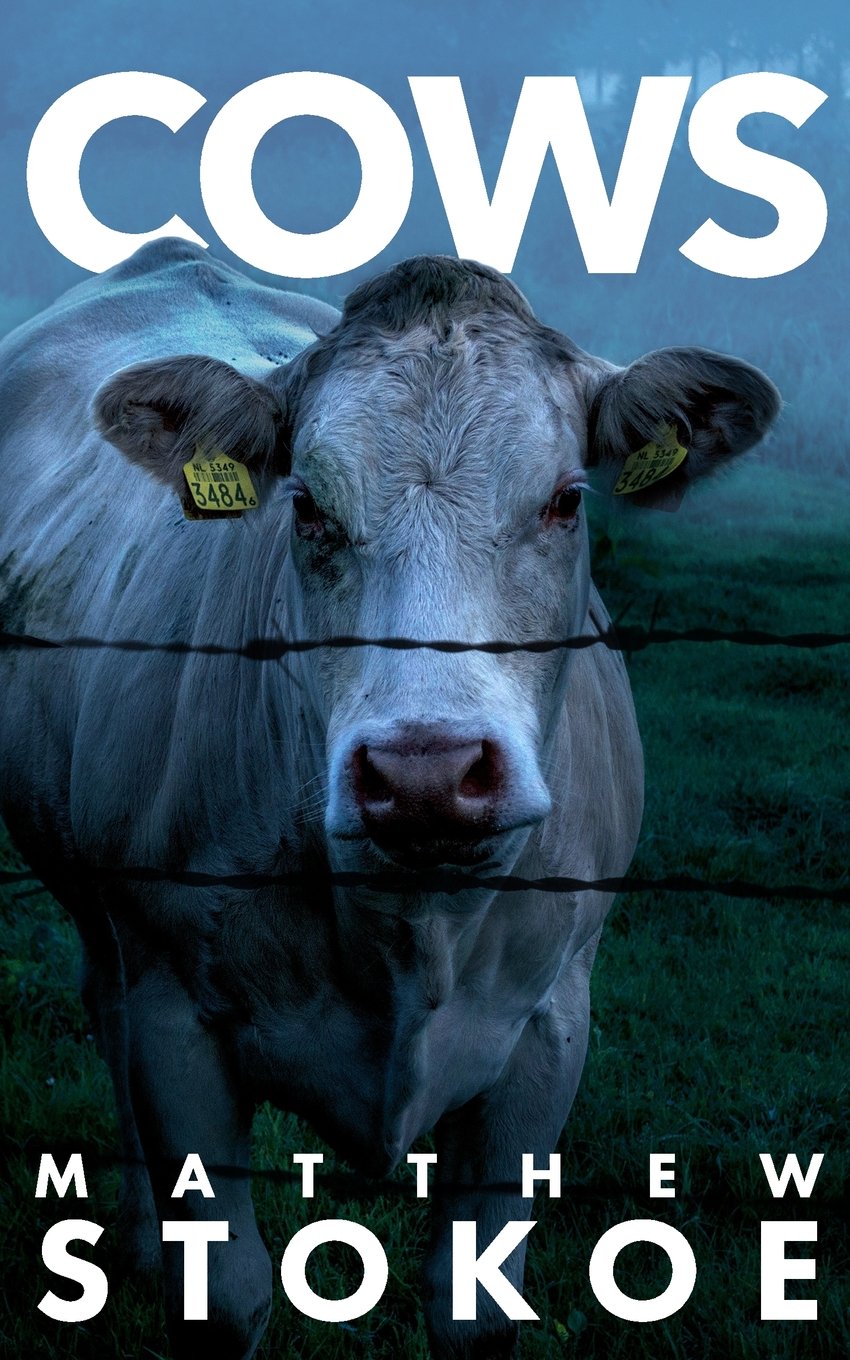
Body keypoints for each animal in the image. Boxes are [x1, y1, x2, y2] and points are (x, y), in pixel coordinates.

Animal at [0, 239, 779, 1359]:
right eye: (307, 507)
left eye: (566, 500)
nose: (426, 771)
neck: (408, 925)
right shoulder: (176, 1018)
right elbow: (226, 1294)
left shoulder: (549, 1027)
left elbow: (474, 1309)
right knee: (104, 1008)